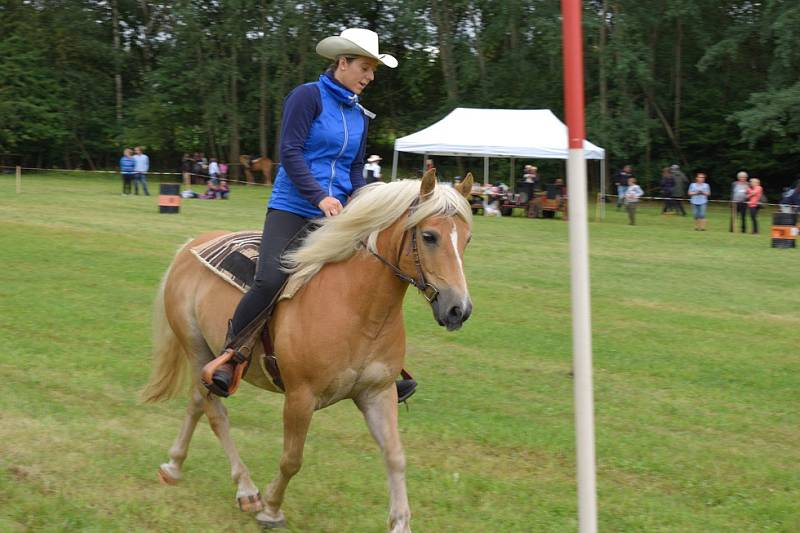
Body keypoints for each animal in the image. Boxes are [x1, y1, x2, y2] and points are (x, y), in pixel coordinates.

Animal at [142, 171, 476, 532]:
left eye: (467, 239)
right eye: (429, 236)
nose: (458, 309)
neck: (357, 307)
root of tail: (190, 247)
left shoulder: (378, 393)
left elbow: (395, 455)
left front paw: (401, 522)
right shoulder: (300, 398)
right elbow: (292, 459)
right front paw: (271, 509)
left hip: (206, 358)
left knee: (197, 402)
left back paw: (173, 466)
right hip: (196, 347)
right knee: (216, 413)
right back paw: (246, 490)